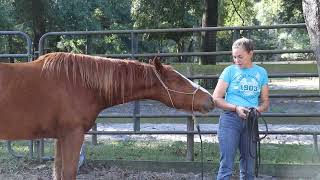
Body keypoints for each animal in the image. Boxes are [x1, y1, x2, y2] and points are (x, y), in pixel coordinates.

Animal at [0, 52, 215, 180]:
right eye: (178, 81)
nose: (210, 99)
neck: (78, 83)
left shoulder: (61, 138)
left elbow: (59, 172)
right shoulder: (72, 136)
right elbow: (68, 173)